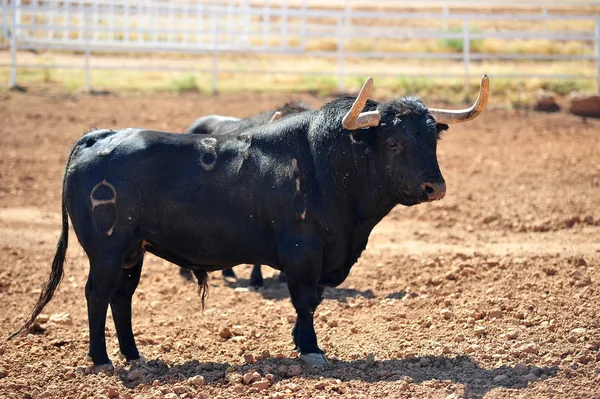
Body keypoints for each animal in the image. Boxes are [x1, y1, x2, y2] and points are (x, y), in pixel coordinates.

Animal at [10, 76, 488, 370]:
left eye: (431, 137)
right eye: (392, 142)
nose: (434, 187)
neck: (325, 165)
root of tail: (101, 135)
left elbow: (310, 301)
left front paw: (300, 342)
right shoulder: (303, 252)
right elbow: (305, 300)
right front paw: (311, 349)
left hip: (132, 251)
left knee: (121, 298)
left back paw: (134, 355)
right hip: (107, 250)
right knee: (97, 295)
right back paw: (102, 359)